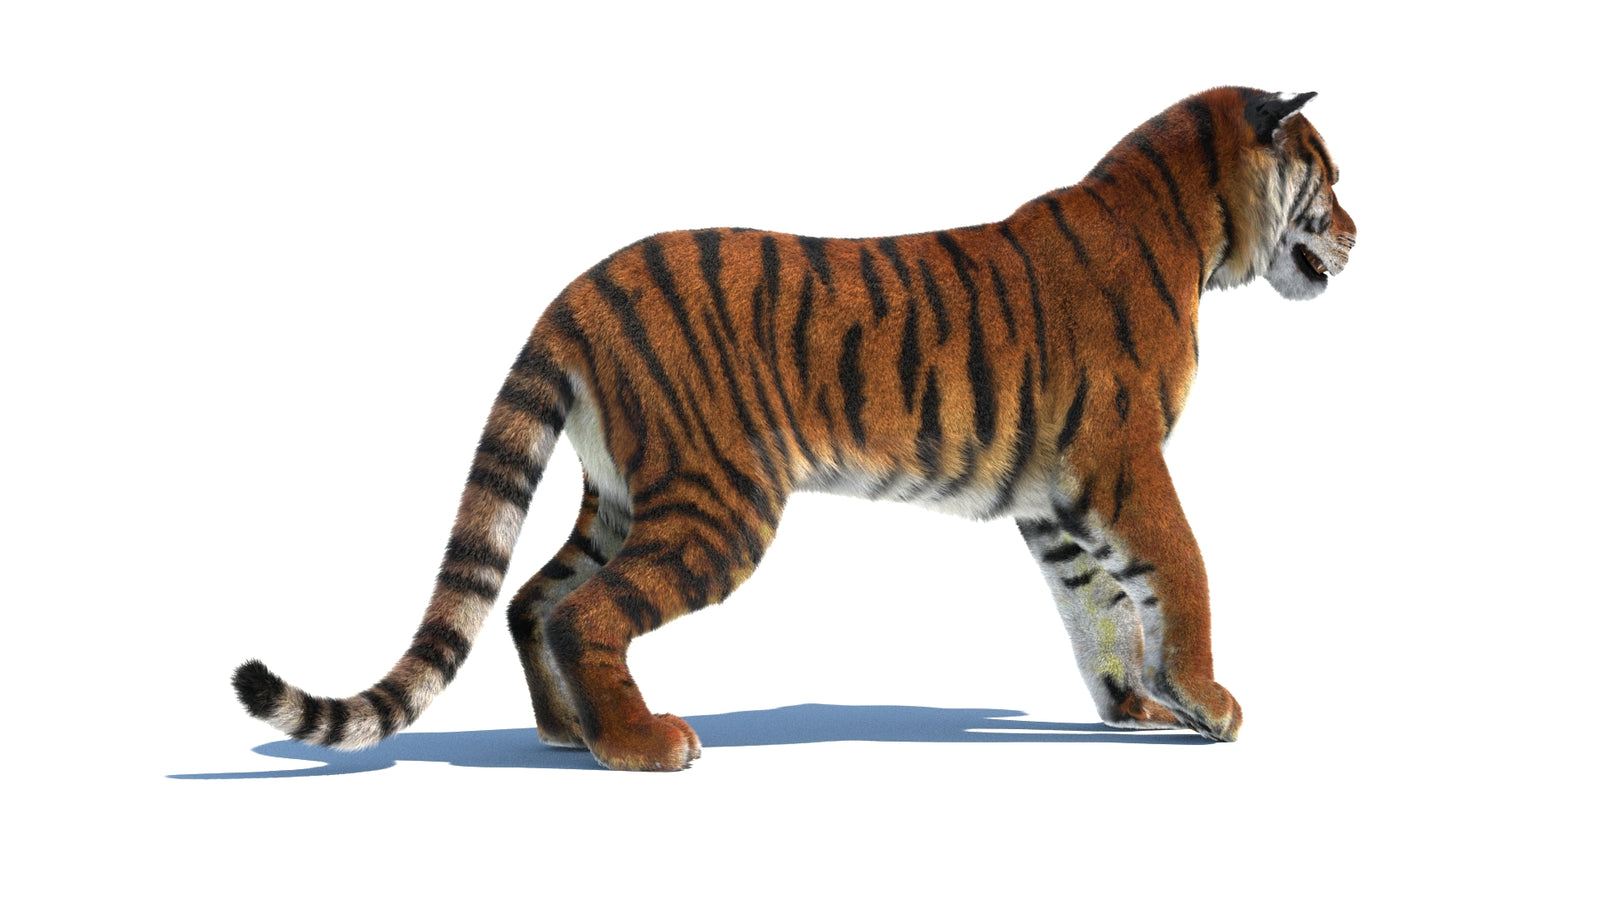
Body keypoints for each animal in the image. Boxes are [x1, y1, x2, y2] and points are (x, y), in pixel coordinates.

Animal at [233, 86, 1356, 771]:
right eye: (1329, 178)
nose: (1356, 230)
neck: (1200, 233)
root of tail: (579, 292)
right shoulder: (1124, 462)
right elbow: (1183, 569)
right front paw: (1210, 702)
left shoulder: (1056, 500)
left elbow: (1101, 610)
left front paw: (1140, 709)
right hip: (721, 503)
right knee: (582, 611)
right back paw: (641, 745)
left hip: (626, 496)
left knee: (527, 598)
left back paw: (568, 732)